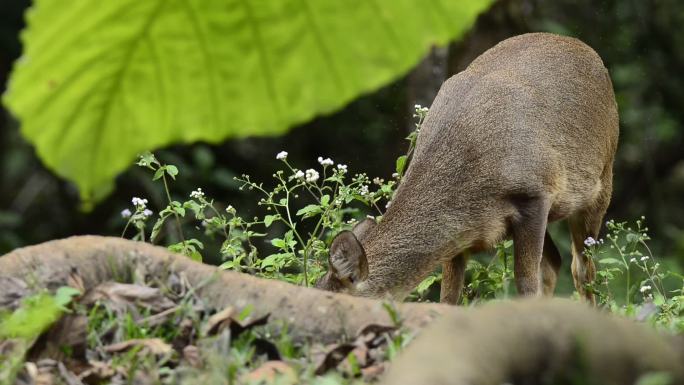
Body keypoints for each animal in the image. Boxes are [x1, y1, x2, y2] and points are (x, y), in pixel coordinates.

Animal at [316, 32, 620, 304]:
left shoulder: (536, 191)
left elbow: (526, 284)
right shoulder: (459, 235)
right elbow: (448, 296)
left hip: (602, 178)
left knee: (582, 269)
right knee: (555, 263)